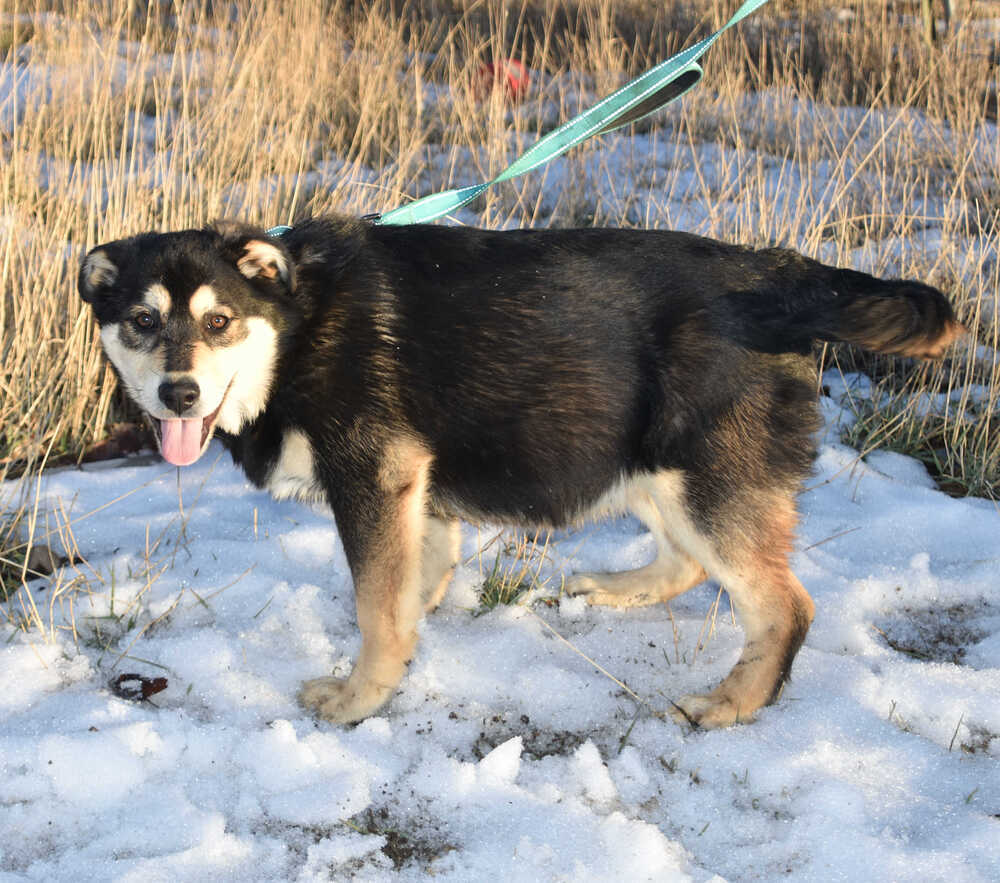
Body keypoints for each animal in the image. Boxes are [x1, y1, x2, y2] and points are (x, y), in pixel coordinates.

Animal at [74, 218, 964, 728]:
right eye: (142, 320)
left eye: (219, 320)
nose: (178, 392)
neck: (298, 324)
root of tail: (774, 274)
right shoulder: (414, 484)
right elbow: (407, 586)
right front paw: (401, 648)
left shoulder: (374, 472)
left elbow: (376, 606)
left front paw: (361, 697)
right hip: (649, 460)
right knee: (688, 563)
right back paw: (619, 588)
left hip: (702, 475)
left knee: (784, 606)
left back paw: (732, 702)